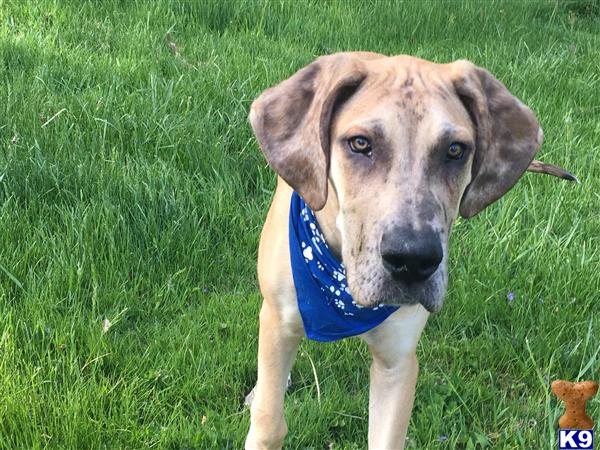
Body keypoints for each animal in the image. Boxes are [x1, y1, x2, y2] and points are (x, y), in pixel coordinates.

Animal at [244, 51, 576, 446]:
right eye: (360, 144)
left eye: (455, 150)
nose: (413, 261)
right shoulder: (279, 319)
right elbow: (268, 421)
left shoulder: (397, 361)